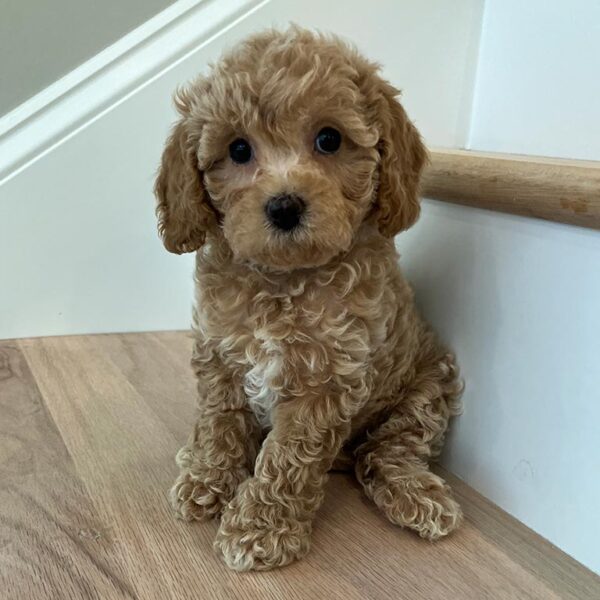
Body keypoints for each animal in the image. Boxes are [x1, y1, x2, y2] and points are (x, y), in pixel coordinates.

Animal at [156, 27, 464, 572]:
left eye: (329, 139)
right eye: (238, 149)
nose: (284, 207)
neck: (283, 280)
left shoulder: (327, 379)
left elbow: (287, 458)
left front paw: (260, 529)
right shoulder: (218, 355)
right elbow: (219, 424)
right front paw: (209, 479)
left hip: (429, 386)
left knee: (387, 450)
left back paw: (414, 493)